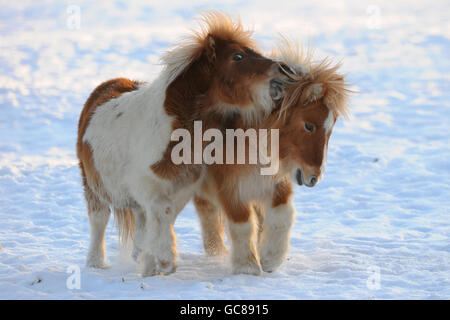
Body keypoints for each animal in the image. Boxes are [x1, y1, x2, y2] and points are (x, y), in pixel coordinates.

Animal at [76, 11, 290, 278]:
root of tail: (107, 85)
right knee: (99, 223)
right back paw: (96, 263)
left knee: (141, 222)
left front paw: (155, 263)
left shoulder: (180, 189)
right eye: (237, 56)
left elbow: (160, 223)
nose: (284, 68)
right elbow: (162, 217)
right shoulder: (152, 191)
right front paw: (165, 261)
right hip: (94, 188)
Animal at [192, 43, 350, 276]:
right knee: (208, 214)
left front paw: (270, 258)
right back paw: (216, 254)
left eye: (331, 129)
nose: (314, 177)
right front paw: (247, 267)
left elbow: (283, 216)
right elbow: (242, 224)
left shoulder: (273, 182)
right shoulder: (230, 188)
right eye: (309, 125)